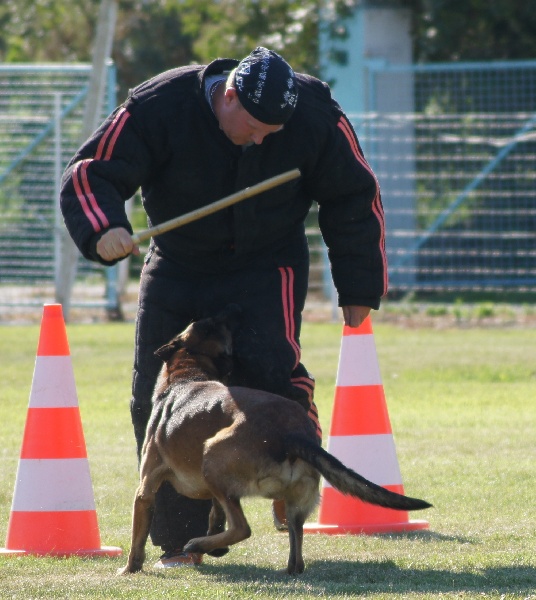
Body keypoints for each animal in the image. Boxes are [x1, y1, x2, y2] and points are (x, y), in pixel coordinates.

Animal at [118, 308, 432, 576]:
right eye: (212, 325)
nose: (229, 312)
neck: (188, 374)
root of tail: (293, 433)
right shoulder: (216, 496)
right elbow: (215, 514)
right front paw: (216, 544)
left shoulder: (146, 489)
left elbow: (137, 538)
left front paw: (130, 568)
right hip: (293, 501)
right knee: (296, 549)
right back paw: (284, 568)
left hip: (213, 457)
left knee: (243, 528)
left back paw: (196, 544)